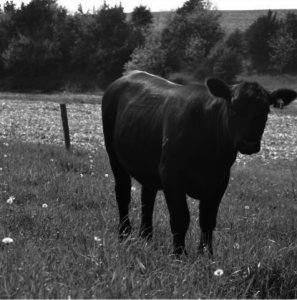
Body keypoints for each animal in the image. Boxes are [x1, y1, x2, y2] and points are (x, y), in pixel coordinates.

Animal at [101, 71, 294, 256]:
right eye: (234, 108)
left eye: (265, 112)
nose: (249, 143)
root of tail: (124, 78)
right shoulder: (171, 173)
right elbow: (180, 217)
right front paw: (179, 255)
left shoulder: (220, 179)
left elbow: (208, 219)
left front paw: (206, 255)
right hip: (113, 153)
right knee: (123, 193)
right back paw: (124, 235)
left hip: (148, 162)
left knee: (147, 197)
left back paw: (146, 237)